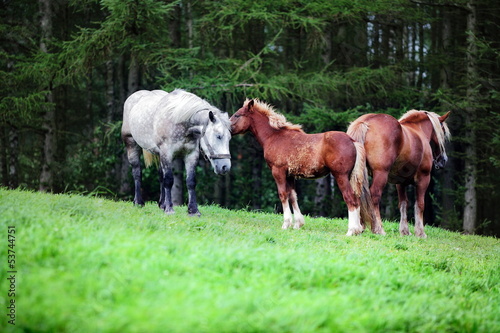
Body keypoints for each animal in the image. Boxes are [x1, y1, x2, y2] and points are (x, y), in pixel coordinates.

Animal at [229, 100, 376, 235]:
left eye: (237, 115)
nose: (227, 129)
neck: (274, 137)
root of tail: (352, 140)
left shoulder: (278, 171)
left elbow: (283, 194)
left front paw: (286, 224)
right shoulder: (290, 175)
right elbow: (293, 196)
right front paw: (297, 224)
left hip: (341, 176)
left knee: (350, 199)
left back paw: (351, 231)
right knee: (356, 199)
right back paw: (358, 230)